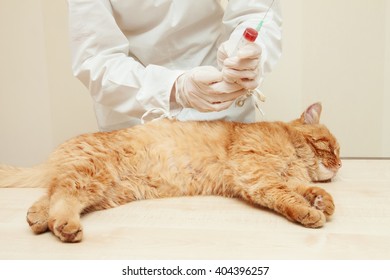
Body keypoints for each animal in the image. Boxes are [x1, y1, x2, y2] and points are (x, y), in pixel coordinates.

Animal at [0, 103, 342, 243]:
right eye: (333, 147)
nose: (340, 164)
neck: (292, 151)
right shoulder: (256, 174)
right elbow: (287, 196)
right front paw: (310, 212)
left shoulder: (282, 177)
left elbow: (308, 189)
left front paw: (322, 200)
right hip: (93, 175)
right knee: (62, 198)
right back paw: (64, 226)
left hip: (107, 190)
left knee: (50, 194)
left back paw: (37, 218)